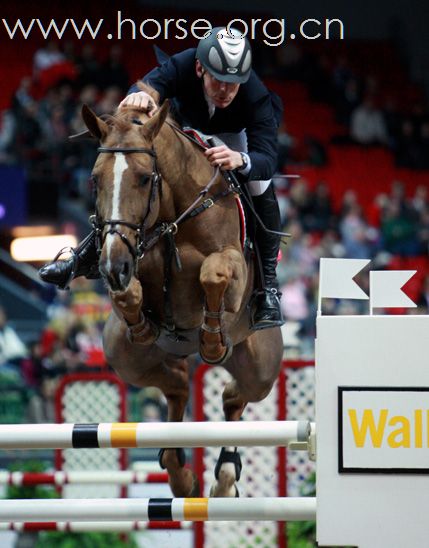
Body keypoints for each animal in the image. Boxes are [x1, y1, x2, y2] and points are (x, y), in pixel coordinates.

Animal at [81, 83, 282, 498]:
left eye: (145, 178)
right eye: (95, 179)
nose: (111, 267)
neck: (173, 217)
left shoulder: (231, 269)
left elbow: (212, 273)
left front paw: (212, 340)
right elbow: (128, 295)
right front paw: (142, 322)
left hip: (261, 366)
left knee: (235, 397)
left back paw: (225, 478)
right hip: (125, 357)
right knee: (176, 385)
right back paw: (182, 476)